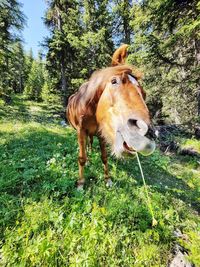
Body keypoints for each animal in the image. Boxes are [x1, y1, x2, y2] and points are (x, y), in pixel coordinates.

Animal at [66, 45, 155, 189]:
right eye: (114, 81)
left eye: (144, 93)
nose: (146, 132)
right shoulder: (81, 131)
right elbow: (81, 158)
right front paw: (80, 183)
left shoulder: (100, 133)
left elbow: (104, 157)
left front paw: (107, 179)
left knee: (90, 143)